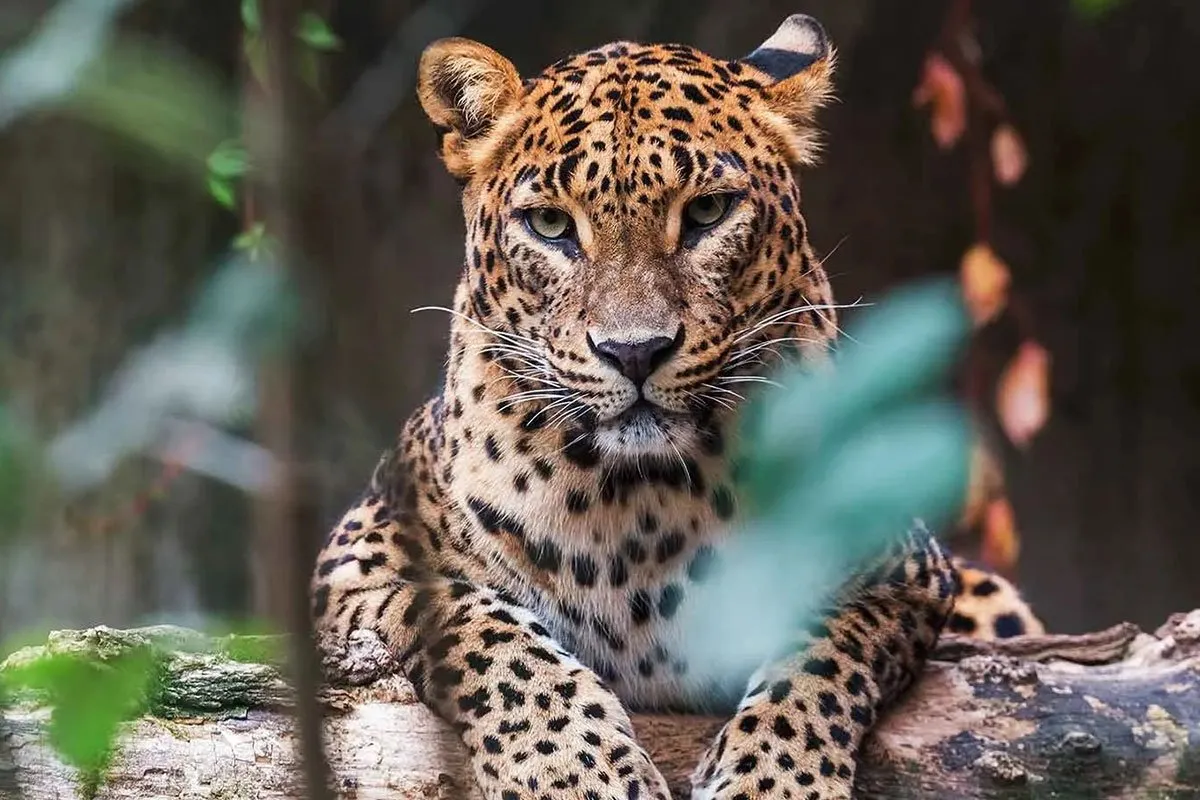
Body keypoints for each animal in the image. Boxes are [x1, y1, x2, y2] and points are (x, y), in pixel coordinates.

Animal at [311, 14, 1045, 799]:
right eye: (550, 226)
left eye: (707, 212)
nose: (634, 352)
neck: (641, 501)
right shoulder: (355, 563)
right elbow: (481, 627)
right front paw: (577, 772)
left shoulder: (900, 569)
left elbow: (819, 652)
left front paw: (772, 779)